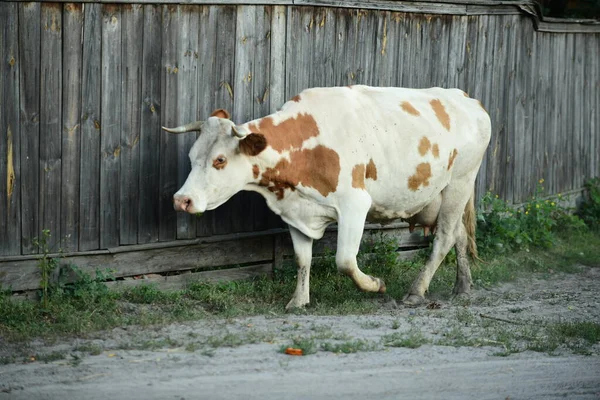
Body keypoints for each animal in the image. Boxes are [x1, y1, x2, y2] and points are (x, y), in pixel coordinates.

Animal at [163, 85, 488, 310]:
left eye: (219, 160)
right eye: (191, 156)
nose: (181, 200)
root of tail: (468, 100)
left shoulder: (355, 205)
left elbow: (344, 260)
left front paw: (376, 285)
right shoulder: (295, 211)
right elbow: (302, 258)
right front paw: (298, 301)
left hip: (459, 183)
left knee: (444, 237)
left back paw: (416, 291)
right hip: (443, 197)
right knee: (459, 234)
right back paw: (462, 286)